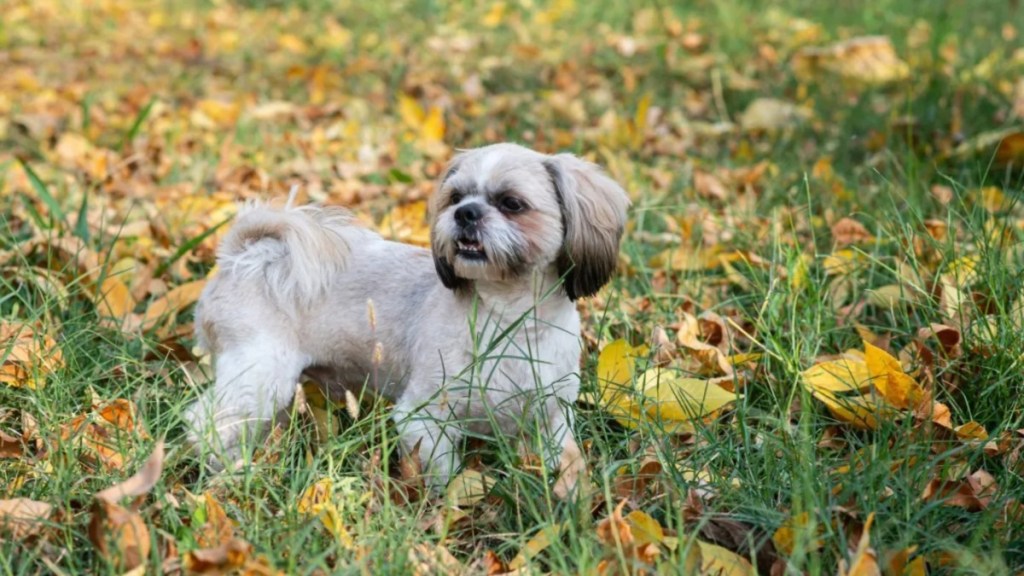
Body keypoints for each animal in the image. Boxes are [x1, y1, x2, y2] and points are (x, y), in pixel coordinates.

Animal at [186, 141, 630, 496]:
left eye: (511, 203)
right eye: (455, 197)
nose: (466, 213)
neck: (509, 319)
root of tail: (243, 256)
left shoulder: (552, 419)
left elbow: (560, 461)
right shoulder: (425, 417)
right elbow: (443, 473)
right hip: (259, 377)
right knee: (206, 422)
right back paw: (227, 474)